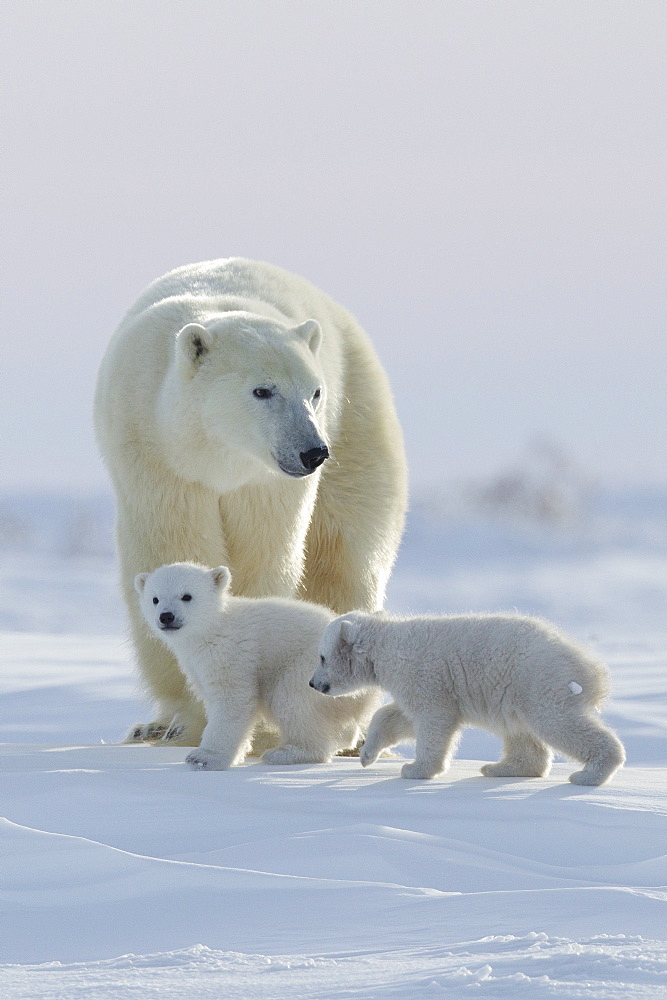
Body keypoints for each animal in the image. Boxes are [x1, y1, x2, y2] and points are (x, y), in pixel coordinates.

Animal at [94, 258, 408, 744]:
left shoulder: (265, 484)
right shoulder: (155, 454)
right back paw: (153, 727)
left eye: (314, 391)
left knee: (346, 556)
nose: (313, 452)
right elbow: (172, 545)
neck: (216, 457)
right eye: (263, 390)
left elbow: (265, 558)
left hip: (359, 416)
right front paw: (187, 718)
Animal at [136, 564, 380, 764]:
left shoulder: (231, 654)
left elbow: (232, 700)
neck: (212, 629)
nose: (166, 616)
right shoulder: (195, 664)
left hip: (313, 668)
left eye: (187, 596)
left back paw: (288, 752)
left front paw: (204, 757)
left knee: (292, 700)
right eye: (155, 599)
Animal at [310, 612, 628, 784]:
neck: (385, 645)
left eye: (322, 657)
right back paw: (500, 768)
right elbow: (398, 716)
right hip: (516, 692)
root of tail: (590, 668)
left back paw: (590, 773)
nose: (313, 683)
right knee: (522, 732)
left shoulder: (422, 673)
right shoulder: (414, 683)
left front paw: (415, 769)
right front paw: (367, 756)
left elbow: (434, 720)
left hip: (538, 681)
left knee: (556, 723)